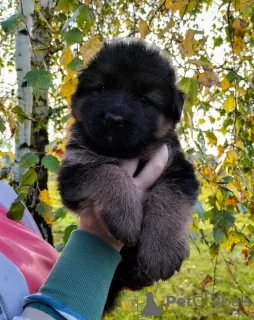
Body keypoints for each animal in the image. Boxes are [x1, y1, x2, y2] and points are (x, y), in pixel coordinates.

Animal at [58, 38, 199, 312]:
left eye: (145, 99)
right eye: (102, 88)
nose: (114, 119)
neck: (126, 152)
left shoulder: (178, 168)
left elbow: (169, 198)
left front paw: (162, 251)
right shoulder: (74, 169)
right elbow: (109, 172)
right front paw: (126, 218)